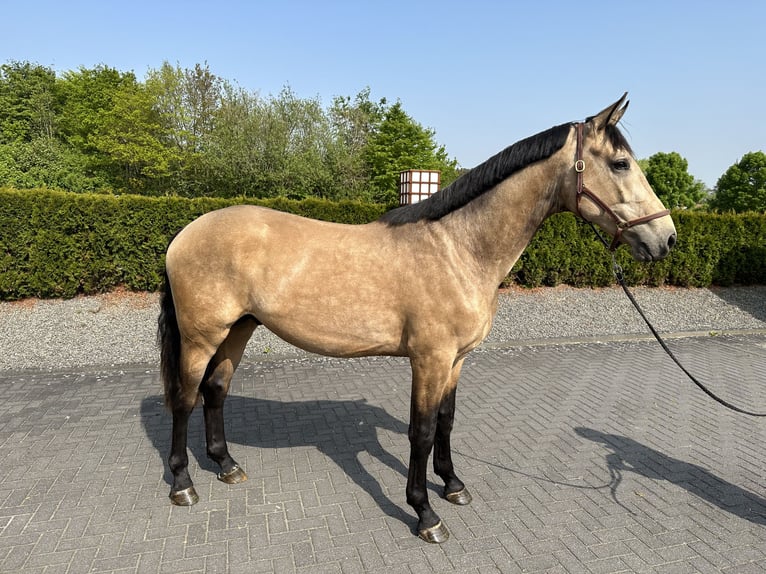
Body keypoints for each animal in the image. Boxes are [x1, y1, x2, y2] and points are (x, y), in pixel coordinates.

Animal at [158, 95, 680, 544]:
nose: (667, 239)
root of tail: (184, 233)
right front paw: (425, 513)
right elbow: (422, 431)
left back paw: (226, 466)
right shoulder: (429, 359)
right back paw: (183, 484)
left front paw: (453, 486)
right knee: (184, 399)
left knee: (215, 391)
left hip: (239, 329)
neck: (458, 248)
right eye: (620, 164)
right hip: (202, 337)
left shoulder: (456, 360)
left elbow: (446, 422)